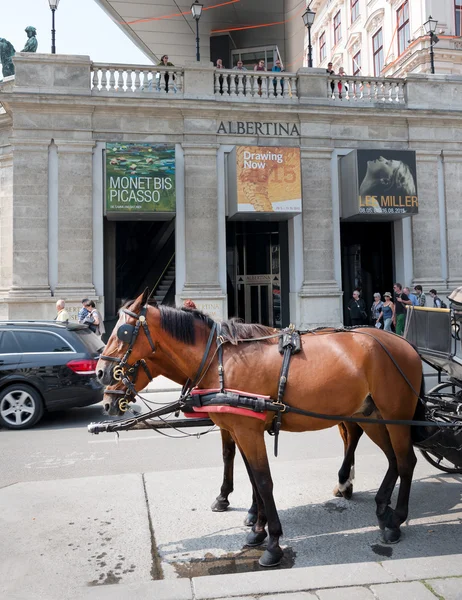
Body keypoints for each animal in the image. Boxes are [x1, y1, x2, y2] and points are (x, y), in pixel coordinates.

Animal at [101, 338, 364, 524]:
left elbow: (245, 464)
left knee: (354, 434)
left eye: (128, 369)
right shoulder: (231, 425)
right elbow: (231, 456)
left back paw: (344, 480)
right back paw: (346, 482)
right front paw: (233, 501)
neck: (214, 364)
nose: (106, 403)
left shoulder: (245, 426)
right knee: (349, 434)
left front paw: (249, 509)